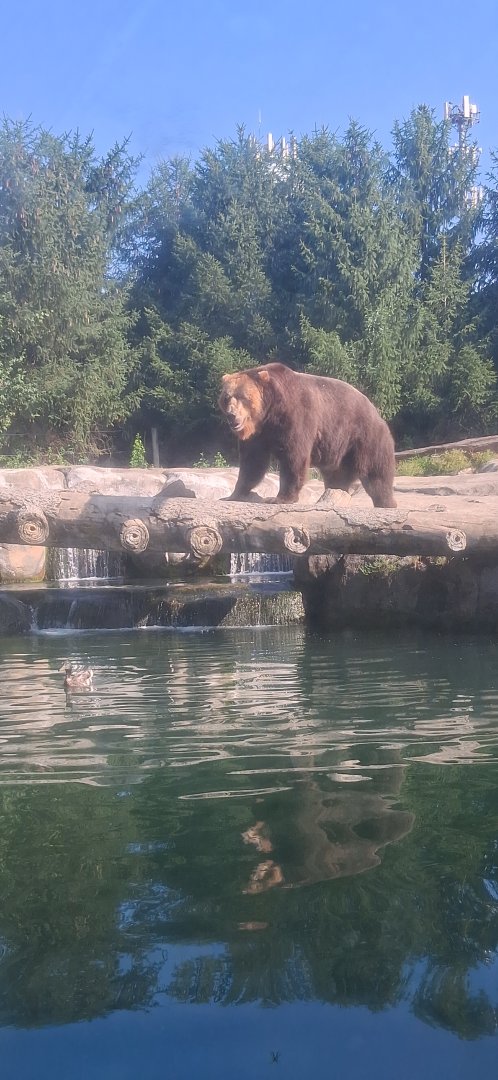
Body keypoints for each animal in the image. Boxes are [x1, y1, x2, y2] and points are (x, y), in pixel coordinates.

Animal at [219, 362, 397, 507]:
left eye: (242, 397)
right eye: (226, 397)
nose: (231, 415)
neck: (269, 413)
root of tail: (376, 412)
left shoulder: (296, 416)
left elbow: (294, 457)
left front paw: (279, 498)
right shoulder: (259, 434)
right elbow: (252, 462)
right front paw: (233, 495)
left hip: (363, 437)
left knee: (376, 473)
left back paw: (386, 502)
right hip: (338, 451)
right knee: (337, 476)